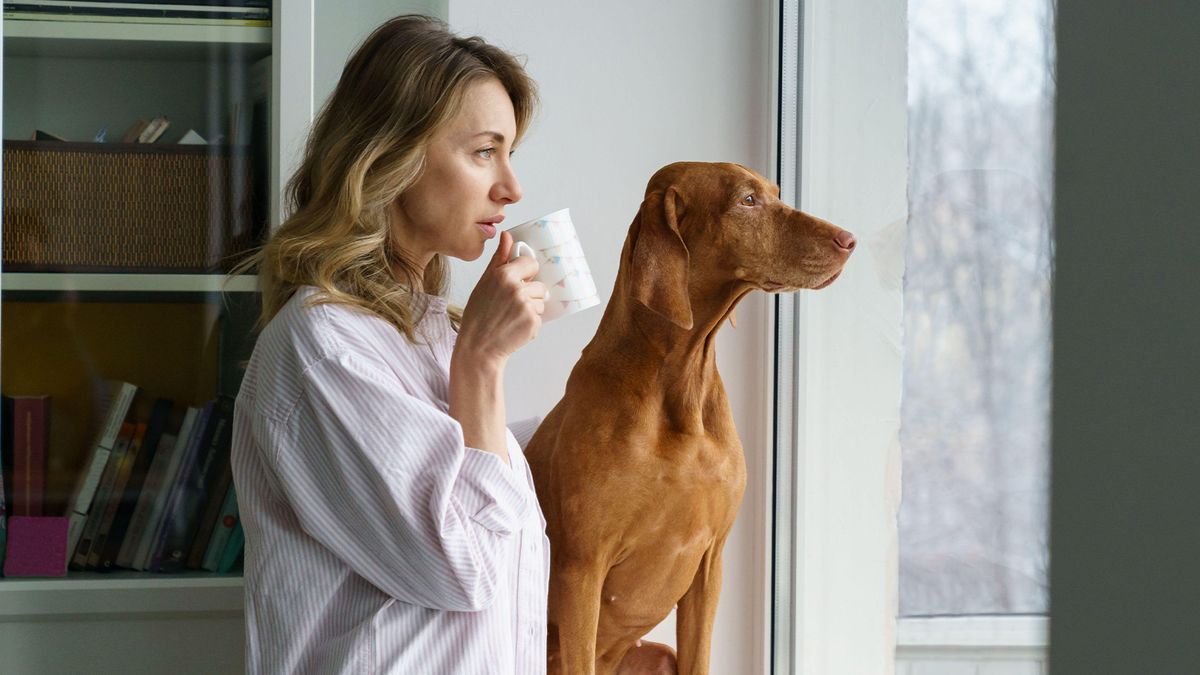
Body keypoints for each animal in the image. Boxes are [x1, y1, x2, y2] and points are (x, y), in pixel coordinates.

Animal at [525, 159, 854, 667]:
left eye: (775, 193)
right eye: (747, 200)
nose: (849, 240)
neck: (679, 388)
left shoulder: (710, 564)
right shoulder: (581, 568)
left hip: (657, 654)